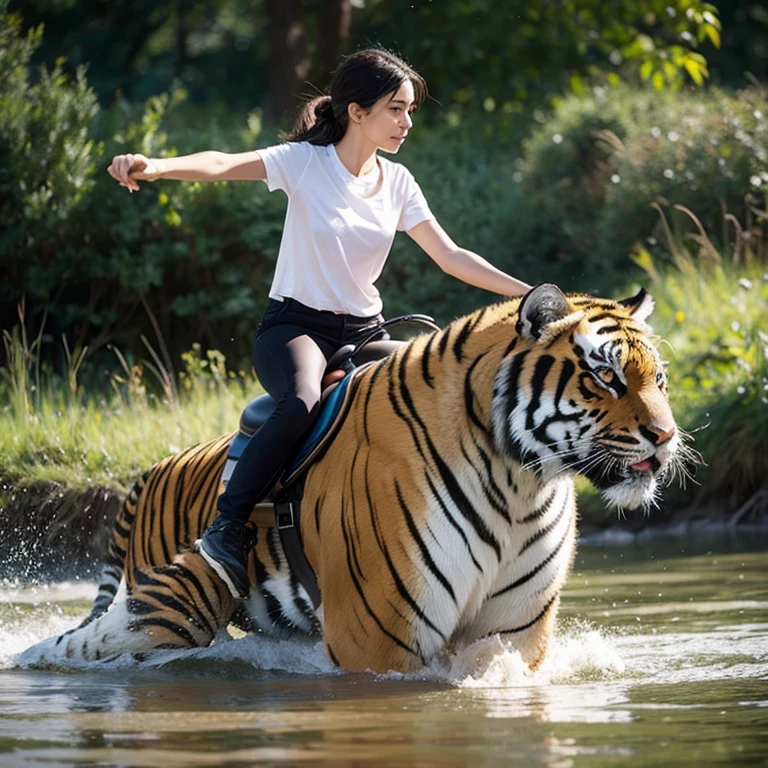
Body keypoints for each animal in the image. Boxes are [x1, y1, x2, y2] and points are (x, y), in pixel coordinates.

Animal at [18, 283, 686, 673]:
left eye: (657, 378)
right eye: (605, 377)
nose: (665, 435)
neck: (517, 483)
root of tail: (152, 469)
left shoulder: (511, 634)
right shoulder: (379, 638)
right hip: (178, 606)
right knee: (104, 636)